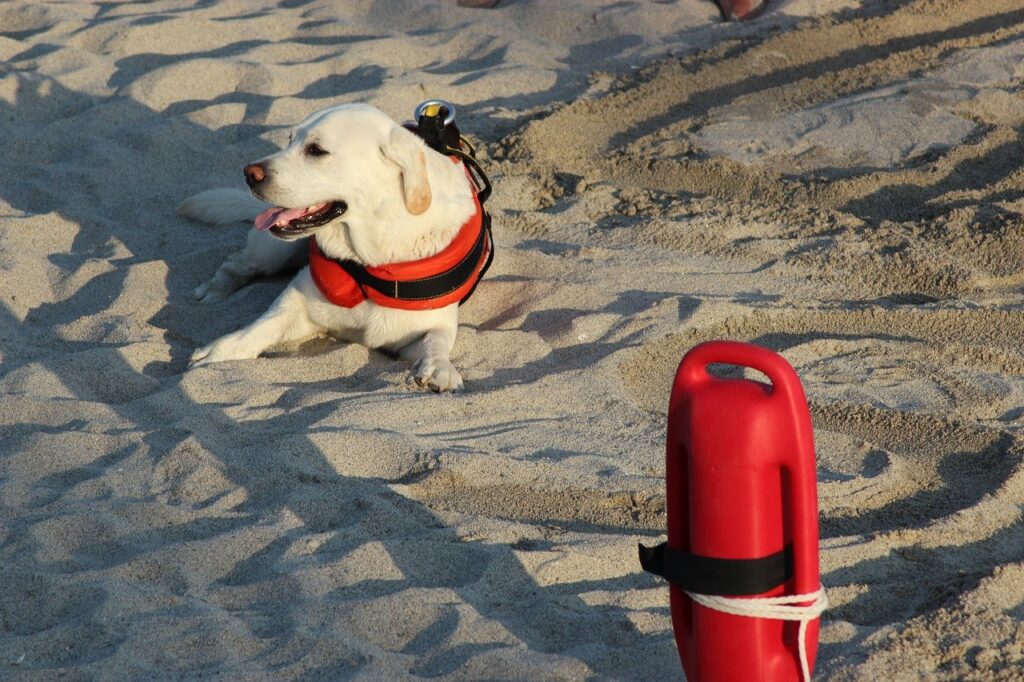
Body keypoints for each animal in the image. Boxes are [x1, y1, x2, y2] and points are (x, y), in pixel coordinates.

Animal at [179, 100, 491, 387]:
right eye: (289, 140)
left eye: (316, 150)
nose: (249, 173)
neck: (370, 259)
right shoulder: (299, 299)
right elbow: (262, 325)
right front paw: (221, 350)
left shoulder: (429, 325)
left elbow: (436, 340)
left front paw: (439, 368)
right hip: (274, 250)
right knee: (239, 263)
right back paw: (215, 288)